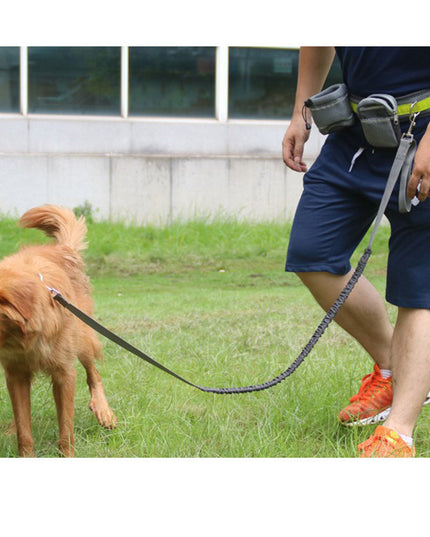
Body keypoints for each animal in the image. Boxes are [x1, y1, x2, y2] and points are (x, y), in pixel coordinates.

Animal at [0, 205, 116, 456]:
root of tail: (62, 249)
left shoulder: (64, 373)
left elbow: (66, 429)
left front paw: (67, 455)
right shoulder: (15, 373)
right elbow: (24, 430)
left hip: (82, 337)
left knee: (94, 373)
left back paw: (104, 411)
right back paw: (10, 429)